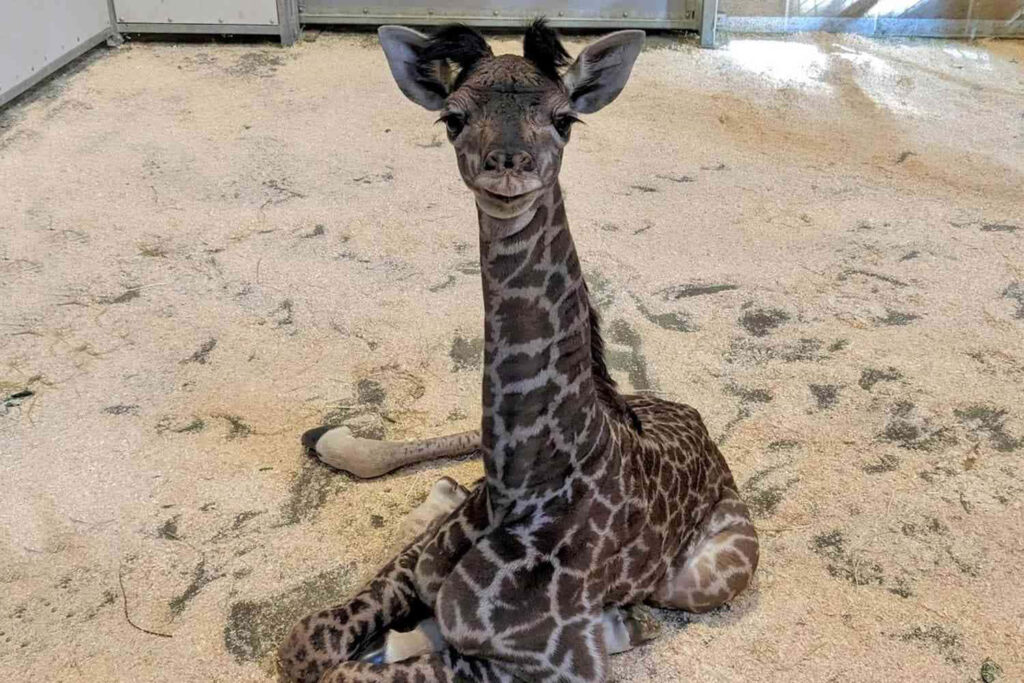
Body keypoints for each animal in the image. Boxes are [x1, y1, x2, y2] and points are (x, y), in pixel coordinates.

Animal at [279, 21, 759, 683]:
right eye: (452, 118)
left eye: (565, 119)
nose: (508, 166)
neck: (521, 488)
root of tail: (700, 422)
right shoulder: (414, 567)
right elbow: (308, 643)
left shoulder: (561, 662)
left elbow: (353, 664)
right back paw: (353, 451)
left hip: (707, 578)